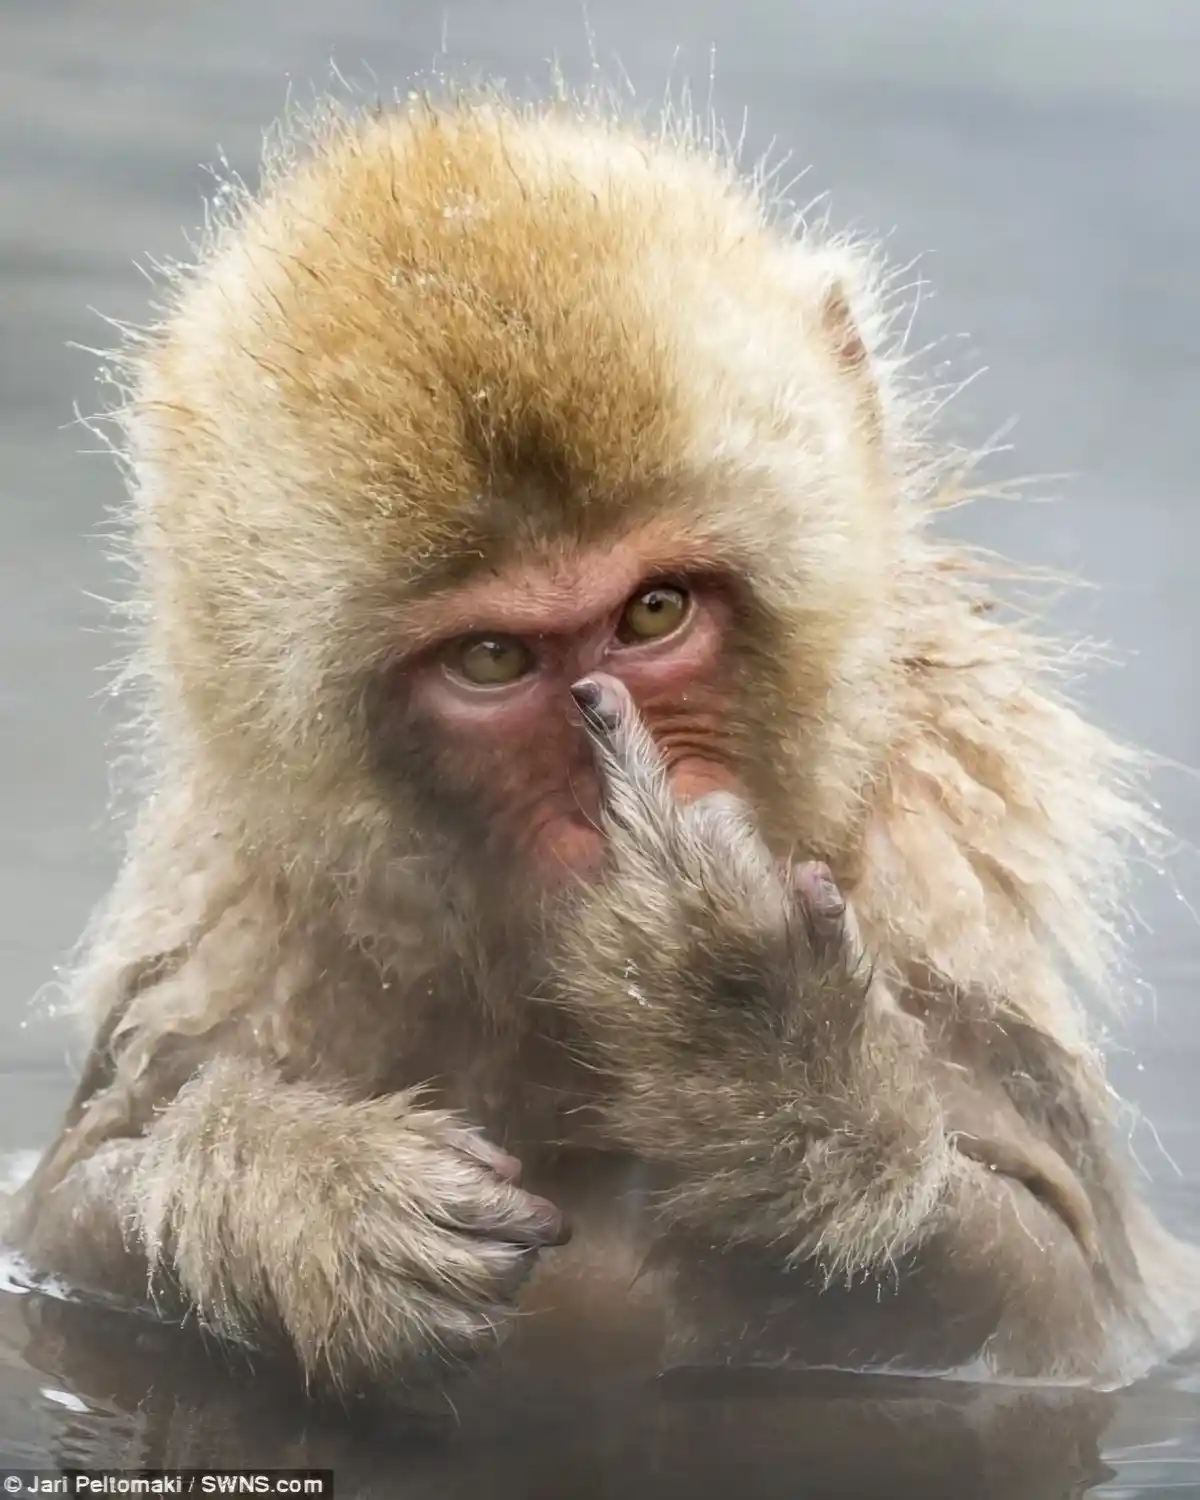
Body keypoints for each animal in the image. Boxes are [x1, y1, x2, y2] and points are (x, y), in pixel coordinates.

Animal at [5, 89, 1199, 1396]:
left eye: (655, 611)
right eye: (491, 661)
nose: (603, 795)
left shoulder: (948, 939)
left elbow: (1067, 1305)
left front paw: (756, 1046)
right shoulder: (230, 960)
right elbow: (61, 1226)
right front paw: (298, 1193)